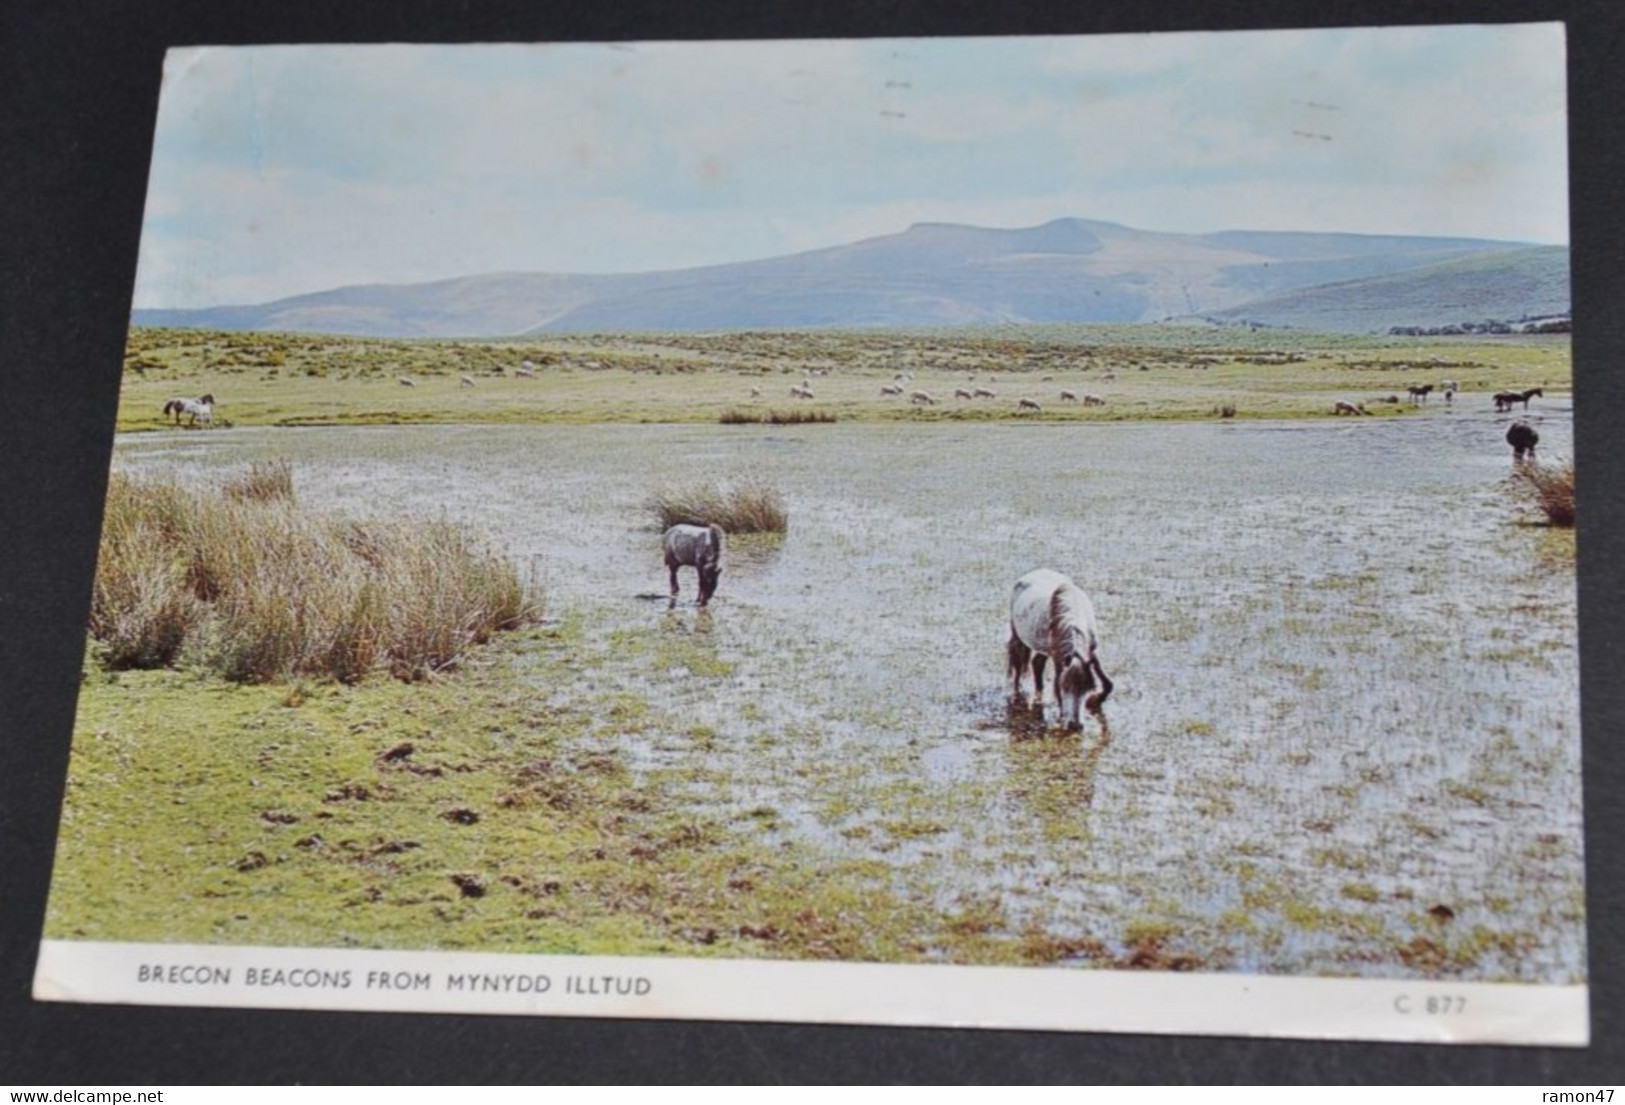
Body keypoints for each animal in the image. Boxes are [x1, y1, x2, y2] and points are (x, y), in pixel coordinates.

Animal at [1001, 568, 1118, 734]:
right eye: (1066, 687)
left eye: (1088, 687)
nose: (1076, 725)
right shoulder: (1059, 658)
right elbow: (1057, 685)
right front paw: (1064, 717)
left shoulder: (1090, 653)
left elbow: (1108, 683)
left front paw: (1094, 700)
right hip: (1018, 636)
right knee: (1017, 664)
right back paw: (1018, 694)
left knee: (1037, 663)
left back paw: (1039, 695)